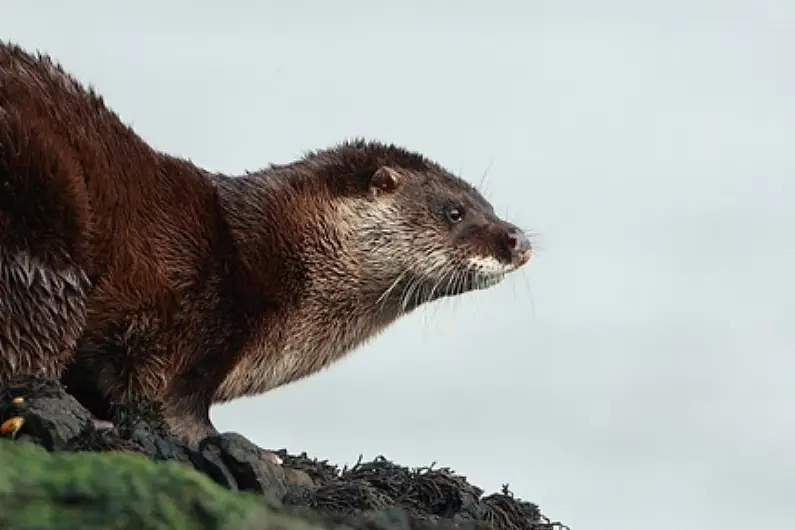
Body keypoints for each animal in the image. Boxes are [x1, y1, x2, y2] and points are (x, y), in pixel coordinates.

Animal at [1, 41, 536, 440]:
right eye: (455, 211)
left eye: (488, 203)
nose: (516, 238)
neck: (267, 258)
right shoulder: (186, 319)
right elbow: (161, 399)